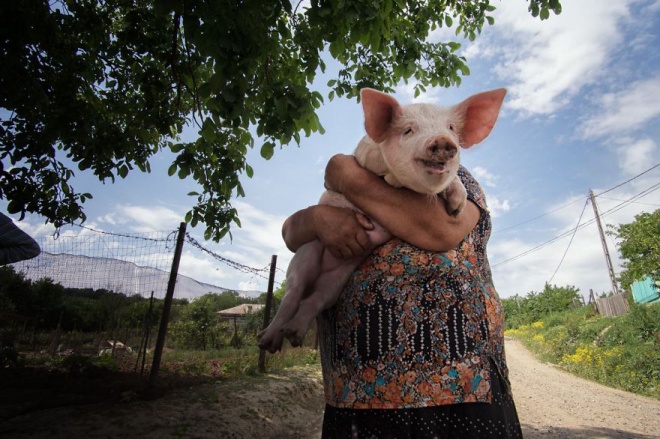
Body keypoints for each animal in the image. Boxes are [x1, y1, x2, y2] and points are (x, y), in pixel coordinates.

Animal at [258, 87, 506, 354]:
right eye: (408, 130)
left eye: (450, 127)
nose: (441, 140)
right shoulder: (367, 157)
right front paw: (396, 182)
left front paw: (456, 207)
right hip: (306, 253)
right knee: (292, 293)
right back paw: (267, 341)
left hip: (338, 280)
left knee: (316, 298)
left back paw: (293, 335)